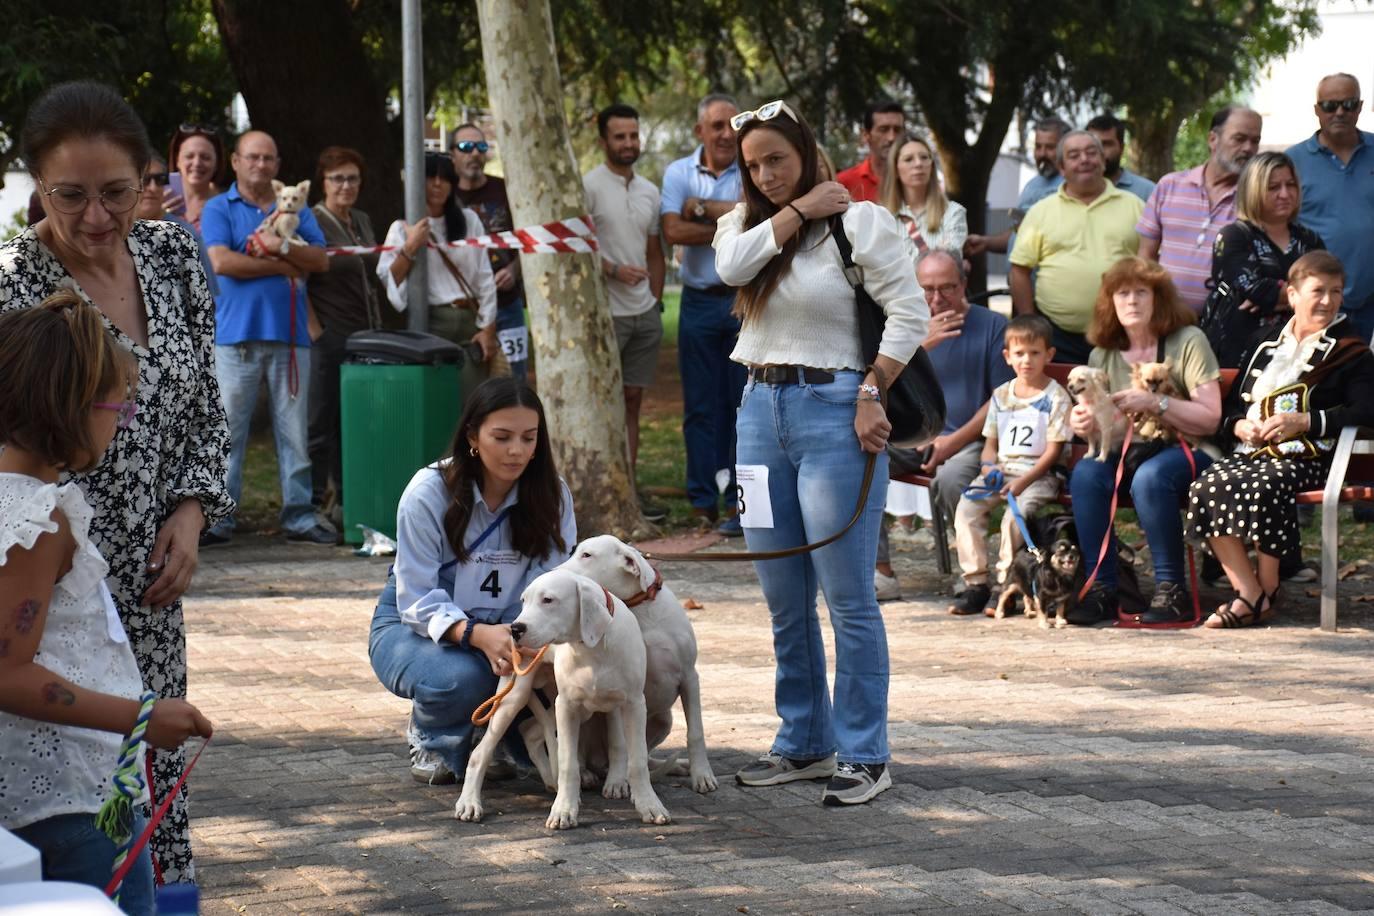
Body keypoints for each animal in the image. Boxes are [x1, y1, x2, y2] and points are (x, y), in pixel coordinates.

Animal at [511, 568, 670, 829]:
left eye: (548, 600)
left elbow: (637, 760)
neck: (590, 648)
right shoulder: (566, 707)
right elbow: (568, 763)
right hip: (520, 694)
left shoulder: (634, 704)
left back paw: (612, 780)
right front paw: (564, 810)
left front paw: (649, 804)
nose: (515, 629)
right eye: (523, 601)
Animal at [560, 532, 719, 796]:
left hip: (664, 719)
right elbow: (619, 743)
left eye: (587, 555)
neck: (639, 611)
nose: (552, 574)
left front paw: (702, 775)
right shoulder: (619, 693)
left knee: (647, 753)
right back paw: (589, 775)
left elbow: (695, 731)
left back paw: (677, 765)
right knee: (584, 755)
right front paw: (617, 781)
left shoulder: (689, 677)